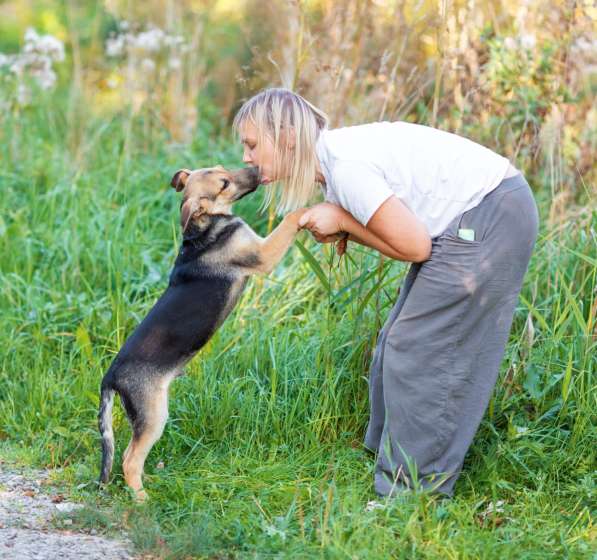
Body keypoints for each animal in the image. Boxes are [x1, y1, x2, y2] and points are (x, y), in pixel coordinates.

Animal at [98, 165, 304, 498]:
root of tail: (110, 377)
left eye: (223, 169)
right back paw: (141, 498)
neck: (203, 228)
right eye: (224, 183)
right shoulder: (263, 253)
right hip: (154, 414)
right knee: (129, 459)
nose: (257, 169)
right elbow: (291, 221)